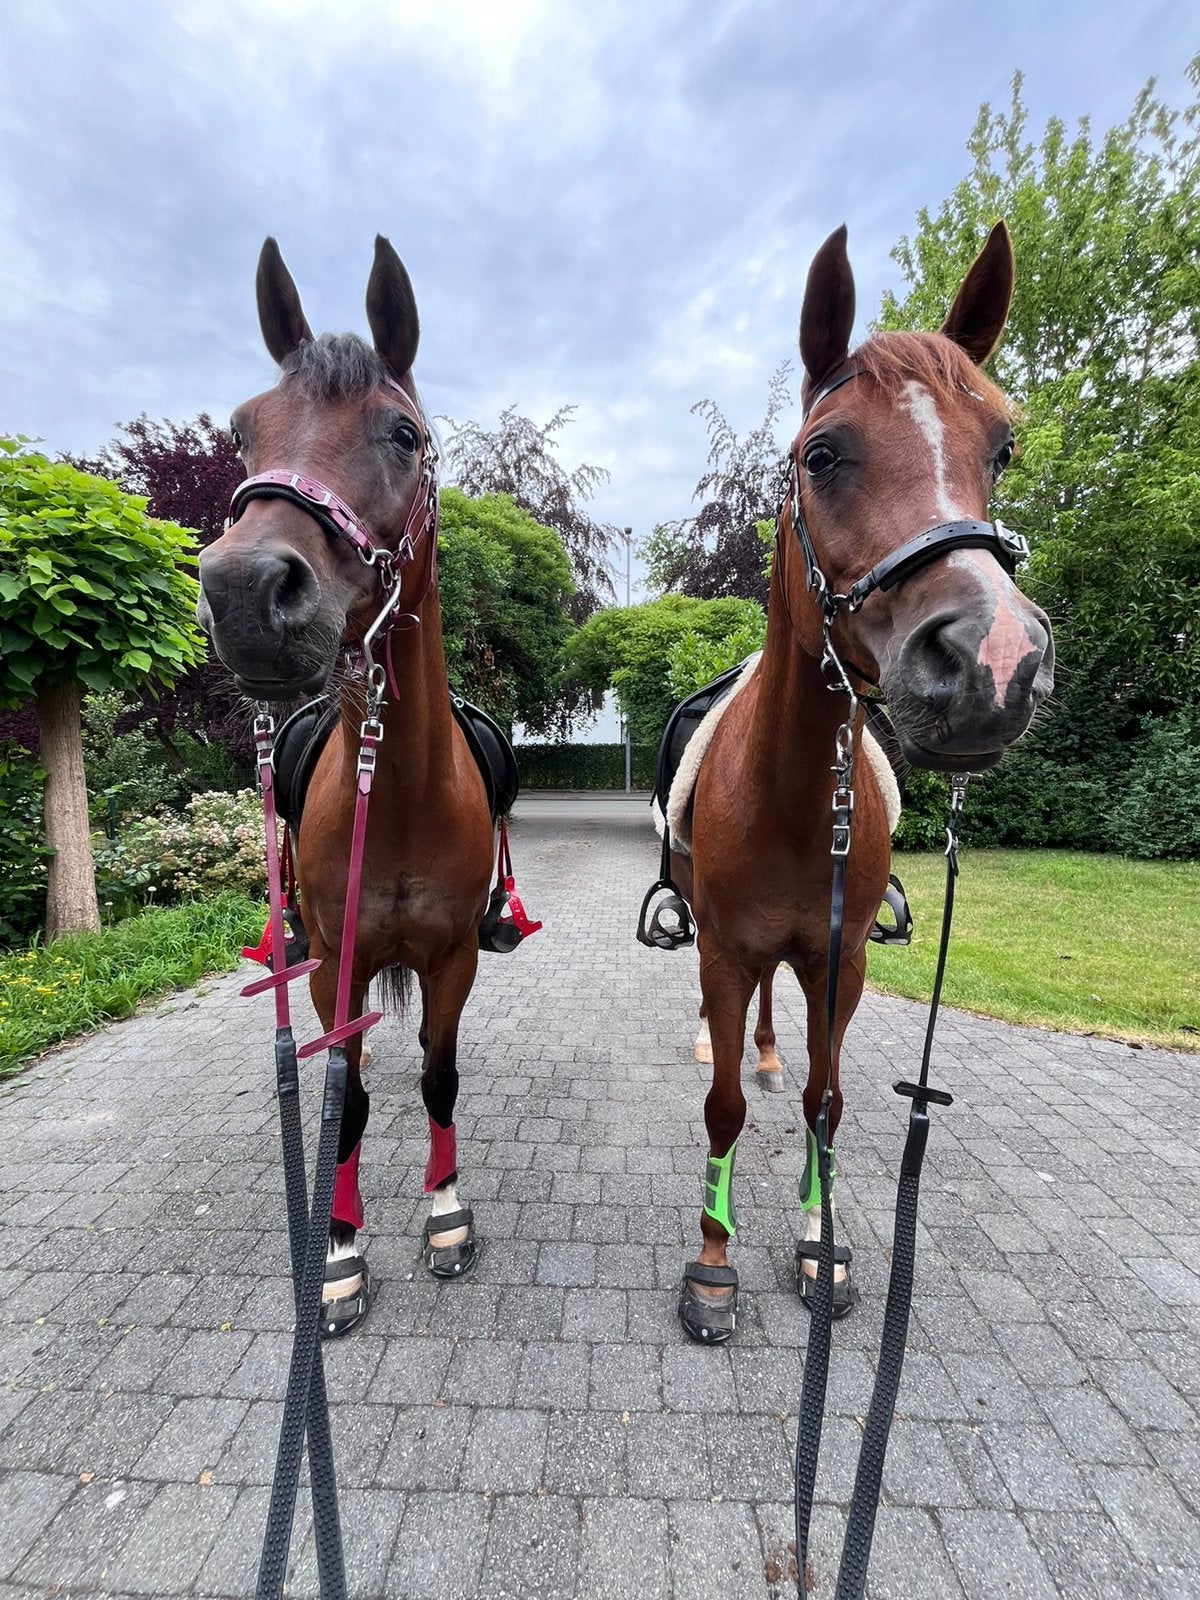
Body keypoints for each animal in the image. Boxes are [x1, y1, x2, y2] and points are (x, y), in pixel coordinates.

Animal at [196, 236, 496, 1337]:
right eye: (242, 430)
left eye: (403, 433)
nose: (245, 590)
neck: (397, 788)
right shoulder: (336, 966)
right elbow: (344, 1101)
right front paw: (335, 1248)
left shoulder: (453, 957)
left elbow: (440, 1078)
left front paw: (445, 1214)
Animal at [667, 222, 1054, 1343]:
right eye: (822, 454)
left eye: (1001, 448)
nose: (993, 660)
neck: (801, 804)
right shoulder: (725, 949)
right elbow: (723, 1111)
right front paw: (714, 1262)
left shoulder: (839, 966)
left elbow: (826, 1102)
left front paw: (818, 1240)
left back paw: (762, 1053)